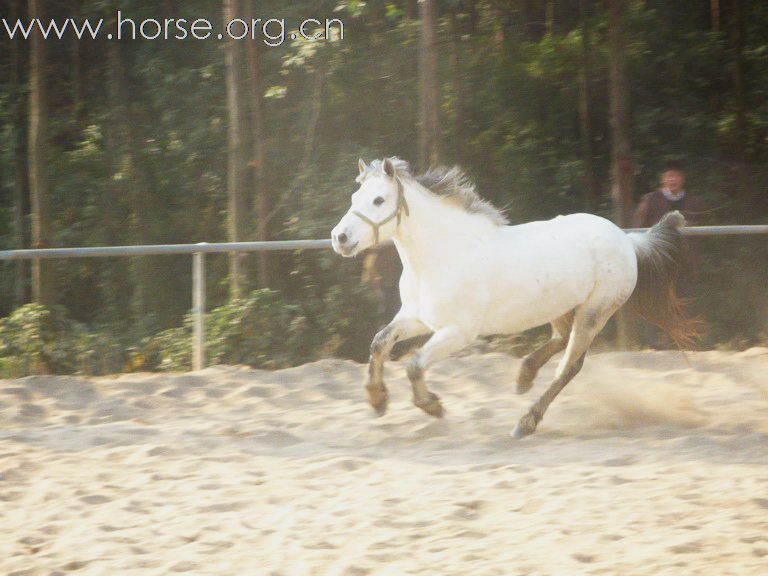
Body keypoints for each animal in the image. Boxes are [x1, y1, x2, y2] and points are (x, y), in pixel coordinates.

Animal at [330, 158, 696, 436]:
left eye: (379, 200)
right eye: (354, 196)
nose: (340, 237)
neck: (444, 254)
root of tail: (627, 240)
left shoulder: (458, 332)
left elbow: (414, 365)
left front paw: (432, 406)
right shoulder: (418, 318)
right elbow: (379, 343)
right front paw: (377, 400)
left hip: (594, 312)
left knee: (569, 365)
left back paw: (526, 422)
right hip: (561, 307)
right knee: (559, 340)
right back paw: (523, 377)